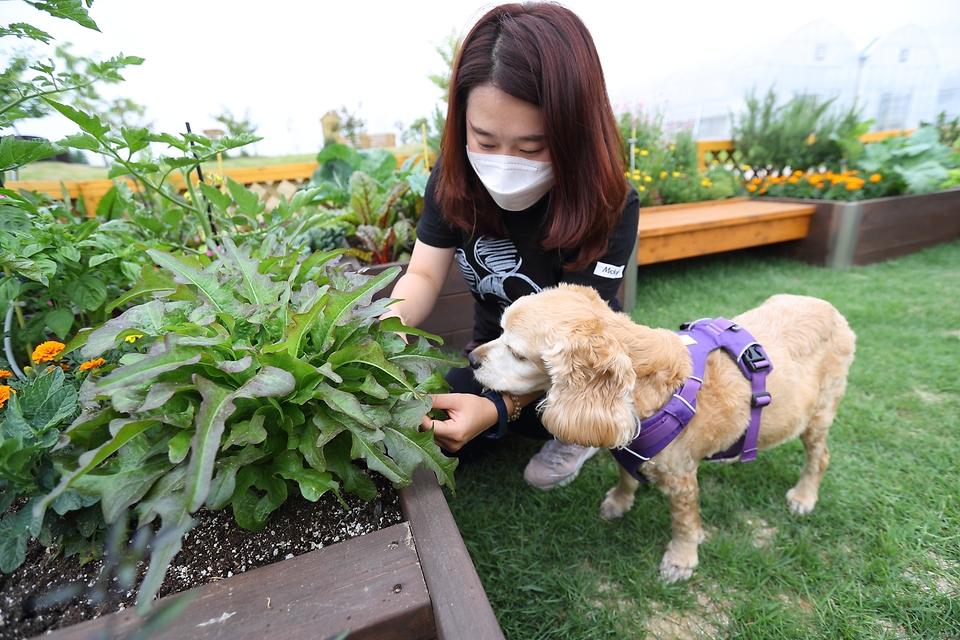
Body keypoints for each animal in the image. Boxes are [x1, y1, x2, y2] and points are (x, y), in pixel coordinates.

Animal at [470, 282, 856, 584]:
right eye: (499, 331)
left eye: (518, 353)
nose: (471, 358)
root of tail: (833, 311)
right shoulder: (628, 448)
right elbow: (626, 474)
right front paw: (619, 501)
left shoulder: (681, 478)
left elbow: (684, 522)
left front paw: (681, 560)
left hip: (820, 413)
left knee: (820, 457)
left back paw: (804, 496)